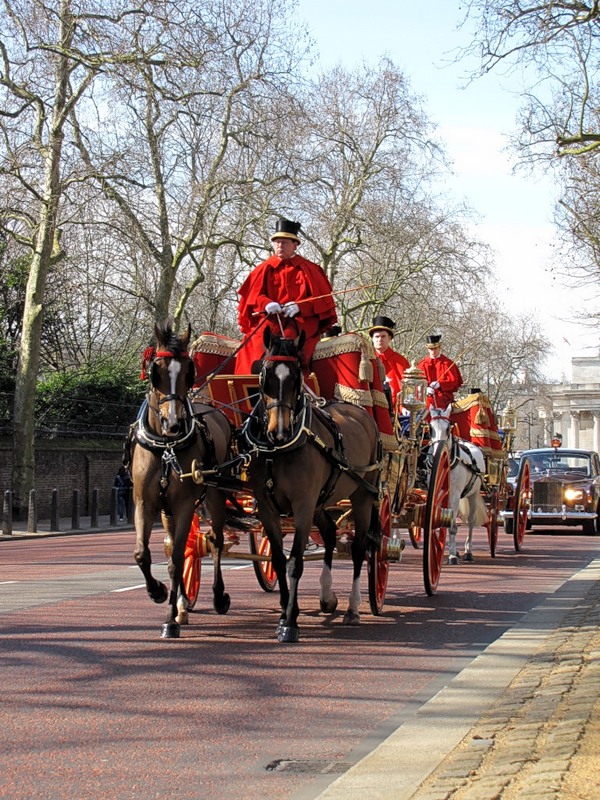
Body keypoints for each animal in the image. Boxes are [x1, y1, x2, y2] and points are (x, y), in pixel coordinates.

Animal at [129, 318, 232, 636]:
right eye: (156, 372)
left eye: (188, 371)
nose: (173, 423)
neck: (166, 448)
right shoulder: (144, 503)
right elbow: (145, 554)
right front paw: (160, 594)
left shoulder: (185, 503)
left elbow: (175, 559)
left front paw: (169, 619)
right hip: (167, 511)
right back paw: (183, 604)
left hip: (215, 497)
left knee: (216, 541)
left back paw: (219, 596)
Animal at [240, 326, 378, 644]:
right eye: (265, 375)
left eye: (296, 377)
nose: (278, 431)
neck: (277, 451)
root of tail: (362, 413)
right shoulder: (267, 507)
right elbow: (278, 560)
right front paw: (283, 613)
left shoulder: (302, 506)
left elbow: (295, 562)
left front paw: (291, 622)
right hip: (321, 502)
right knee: (329, 535)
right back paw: (327, 597)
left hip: (362, 497)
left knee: (359, 547)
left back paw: (353, 608)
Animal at [426, 406, 488, 564]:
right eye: (430, 428)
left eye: (448, 428)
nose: (437, 453)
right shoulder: (437, 494)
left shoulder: (454, 495)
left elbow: (453, 526)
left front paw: (452, 555)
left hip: (473, 494)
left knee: (471, 521)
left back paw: (468, 551)